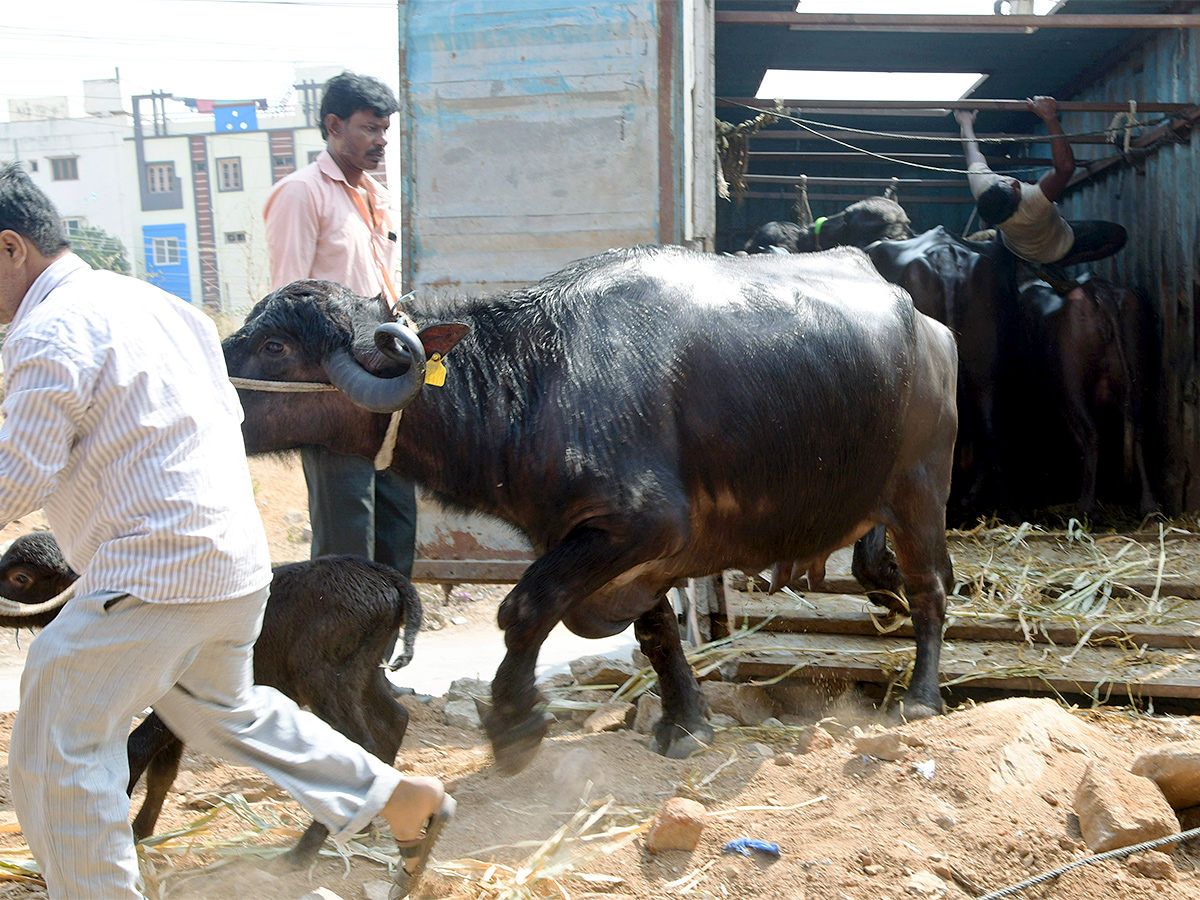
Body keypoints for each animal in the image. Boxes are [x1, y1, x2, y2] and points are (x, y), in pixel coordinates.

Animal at [223, 244, 955, 777]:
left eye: (275, 347)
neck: (537, 383)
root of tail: (930, 329)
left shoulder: (639, 528)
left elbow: (523, 608)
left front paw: (515, 723)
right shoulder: (606, 547)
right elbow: (656, 634)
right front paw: (685, 723)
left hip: (921, 494)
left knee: (932, 588)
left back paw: (920, 698)